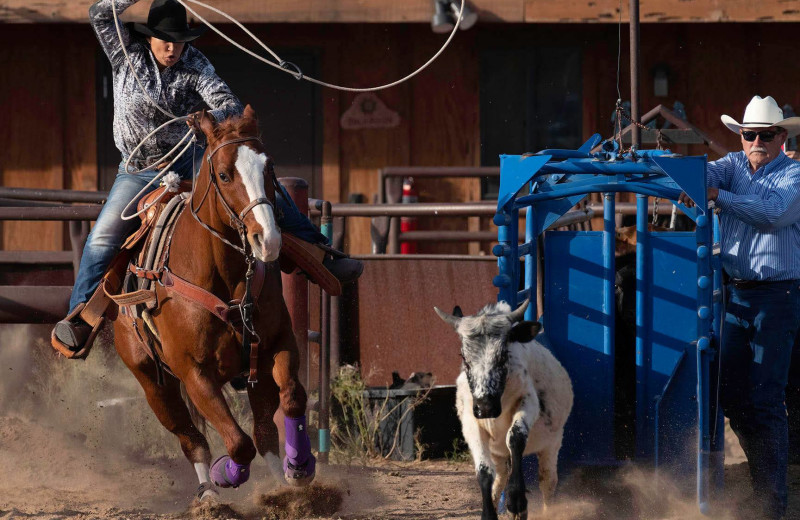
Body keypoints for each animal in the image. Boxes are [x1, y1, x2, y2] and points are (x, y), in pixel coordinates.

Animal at [115, 105, 316, 500]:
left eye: (269, 169)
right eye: (224, 174)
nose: (268, 239)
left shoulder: (276, 344)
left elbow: (292, 397)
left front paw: (300, 466)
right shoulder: (195, 373)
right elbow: (237, 443)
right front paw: (226, 474)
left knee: (264, 432)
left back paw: (280, 486)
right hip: (153, 384)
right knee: (191, 438)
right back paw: (209, 492)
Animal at [434, 300, 572, 520]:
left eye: (503, 354)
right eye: (464, 357)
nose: (485, 407)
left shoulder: (528, 403)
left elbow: (515, 438)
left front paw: (516, 501)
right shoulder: (471, 423)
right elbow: (484, 471)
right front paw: (489, 514)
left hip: (552, 444)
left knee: (547, 481)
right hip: (498, 453)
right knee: (498, 479)